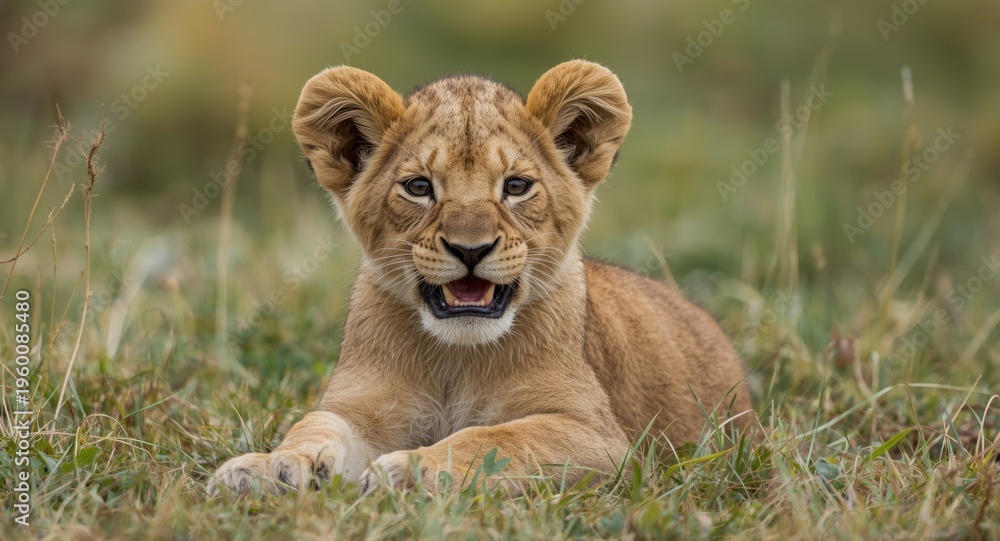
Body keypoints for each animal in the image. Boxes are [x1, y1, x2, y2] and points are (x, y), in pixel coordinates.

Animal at [208, 60, 754, 496]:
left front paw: (409, 470)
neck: (456, 357)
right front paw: (269, 466)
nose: (470, 249)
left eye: (516, 186)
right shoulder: (362, 408)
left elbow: (499, 437)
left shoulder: (602, 439)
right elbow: (315, 423)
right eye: (418, 187)